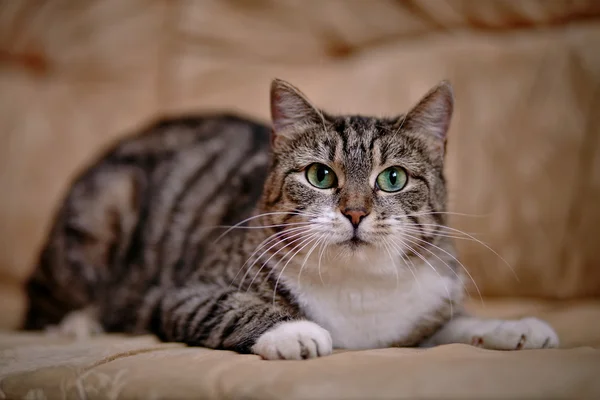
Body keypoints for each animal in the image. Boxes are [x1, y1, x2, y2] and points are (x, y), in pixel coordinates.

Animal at [23, 78, 556, 360]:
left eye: (393, 178)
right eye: (320, 175)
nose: (355, 211)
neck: (359, 289)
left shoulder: (422, 315)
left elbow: (458, 325)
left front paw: (517, 328)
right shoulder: (182, 293)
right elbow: (229, 307)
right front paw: (294, 331)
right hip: (108, 206)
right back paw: (77, 325)